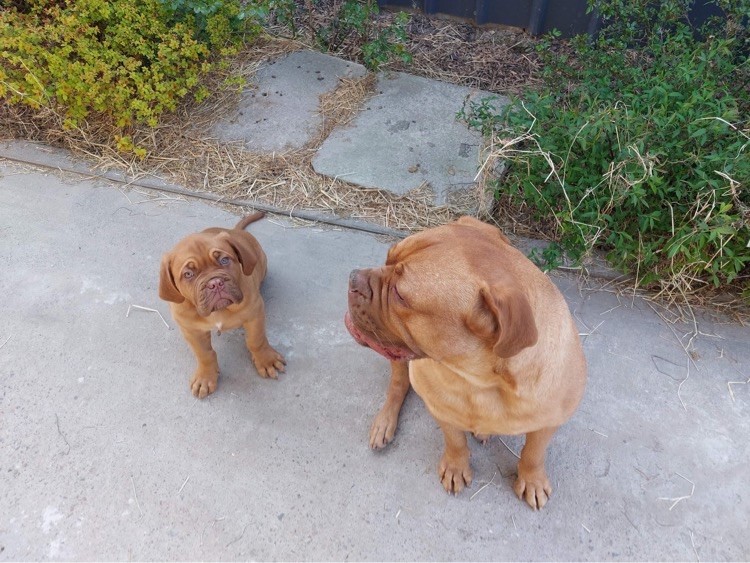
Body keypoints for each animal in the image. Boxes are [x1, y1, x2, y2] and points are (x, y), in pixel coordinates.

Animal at [159, 212, 285, 398]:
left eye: (225, 260)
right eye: (188, 274)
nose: (215, 283)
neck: (218, 312)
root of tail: (234, 231)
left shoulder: (254, 314)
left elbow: (256, 340)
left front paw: (266, 359)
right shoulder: (191, 330)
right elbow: (204, 354)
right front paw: (205, 376)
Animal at [345, 216, 586, 509]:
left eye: (400, 295)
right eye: (388, 256)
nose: (353, 278)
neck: (482, 381)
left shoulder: (549, 422)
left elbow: (534, 452)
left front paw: (532, 479)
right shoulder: (441, 409)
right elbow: (455, 441)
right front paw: (456, 467)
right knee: (398, 384)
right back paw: (385, 422)